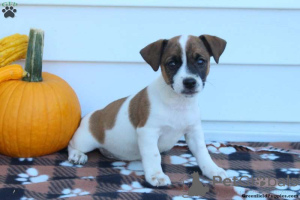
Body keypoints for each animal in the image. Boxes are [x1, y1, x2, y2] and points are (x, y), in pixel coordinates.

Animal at [68, 34, 227, 186]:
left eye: (200, 61)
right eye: (172, 63)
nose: (189, 82)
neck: (177, 102)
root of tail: (91, 114)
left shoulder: (194, 132)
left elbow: (203, 152)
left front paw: (212, 170)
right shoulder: (148, 132)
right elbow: (153, 155)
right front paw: (157, 175)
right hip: (85, 141)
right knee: (71, 144)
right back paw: (77, 155)